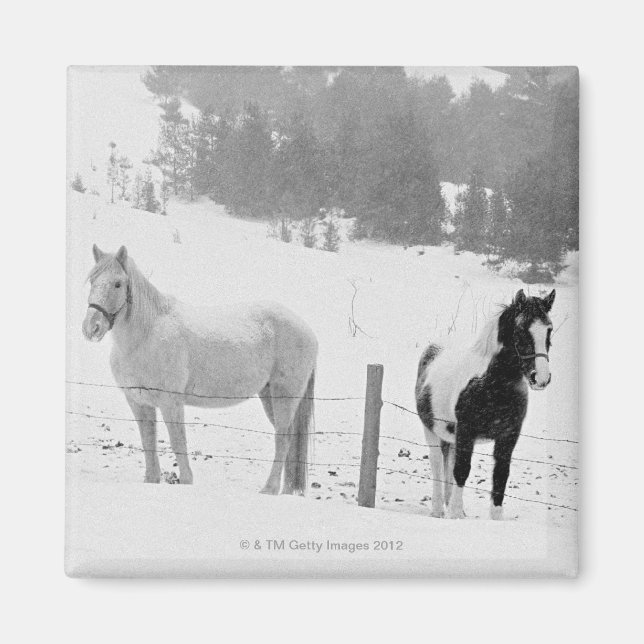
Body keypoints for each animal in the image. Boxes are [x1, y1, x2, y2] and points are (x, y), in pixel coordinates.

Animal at [82, 244, 318, 495]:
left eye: (118, 283)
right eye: (93, 280)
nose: (91, 327)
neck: (145, 336)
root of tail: (307, 331)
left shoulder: (170, 402)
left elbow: (178, 441)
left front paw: (186, 480)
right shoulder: (139, 402)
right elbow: (148, 440)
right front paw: (151, 479)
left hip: (284, 395)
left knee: (283, 438)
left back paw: (269, 489)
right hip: (268, 394)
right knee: (289, 438)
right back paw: (286, 490)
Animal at [415, 288, 556, 520]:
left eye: (549, 330)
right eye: (521, 329)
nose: (541, 378)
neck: (491, 385)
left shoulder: (508, 436)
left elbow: (500, 476)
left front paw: (491, 518)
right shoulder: (466, 431)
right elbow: (462, 470)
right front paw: (454, 515)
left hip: (452, 437)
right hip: (431, 431)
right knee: (436, 465)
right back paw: (438, 510)